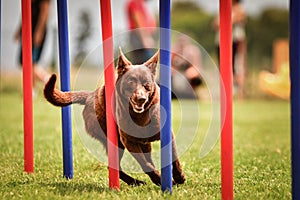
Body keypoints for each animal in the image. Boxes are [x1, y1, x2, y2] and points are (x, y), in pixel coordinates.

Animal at [43, 48, 185, 186]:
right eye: (131, 81)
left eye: (147, 84)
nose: (141, 99)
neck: (140, 116)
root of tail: (91, 95)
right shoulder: (128, 141)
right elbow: (145, 164)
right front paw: (160, 180)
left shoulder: (167, 135)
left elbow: (173, 157)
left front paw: (178, 177)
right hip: (114, 140)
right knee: (115, 166)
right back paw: (136, 182)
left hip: (142, 144)